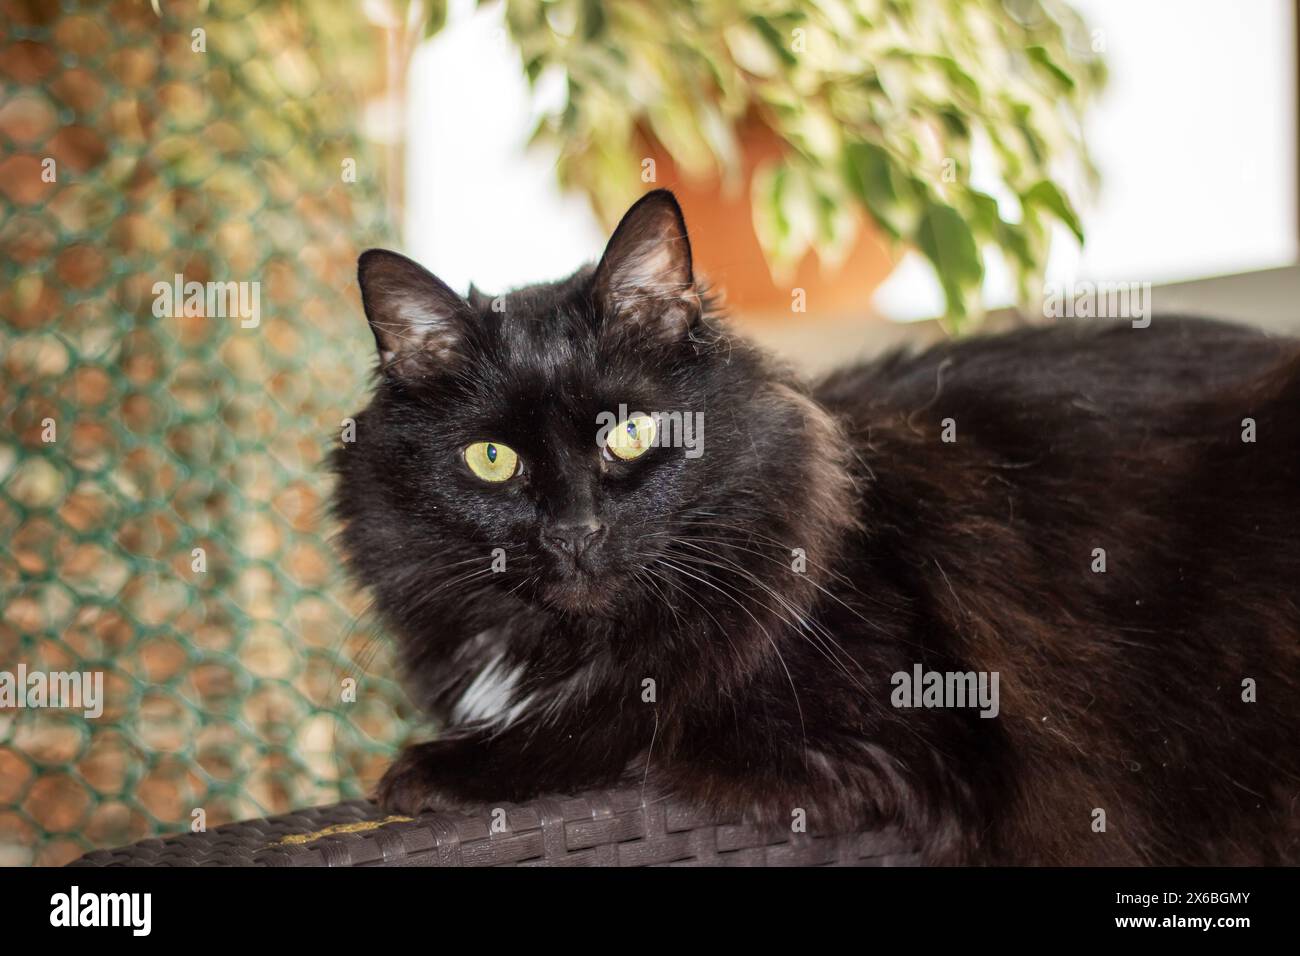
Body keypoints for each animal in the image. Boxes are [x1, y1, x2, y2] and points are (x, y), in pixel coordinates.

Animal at [335, 188, 1300, 868]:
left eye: (628, 434)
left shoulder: (882, 737)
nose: (574, 530)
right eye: (491, 459)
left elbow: (629, 722)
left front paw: (436, 770)